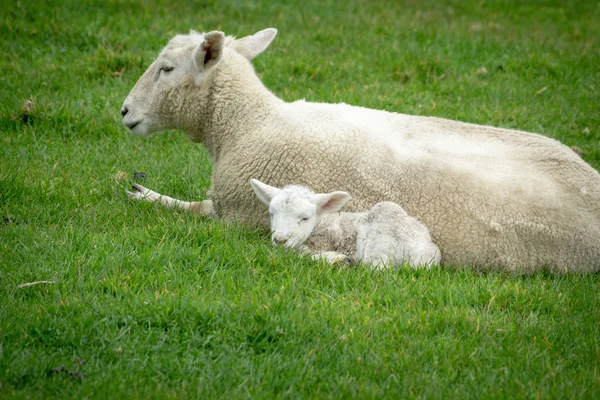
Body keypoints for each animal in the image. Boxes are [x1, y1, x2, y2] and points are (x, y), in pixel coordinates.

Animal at [247, 179, 440, 268]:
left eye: (305, 218)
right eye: (271, 214)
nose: (280, 240)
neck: (322, 222)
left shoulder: (321, 243)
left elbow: (299, 254)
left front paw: (336, 258)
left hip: (379, 245)